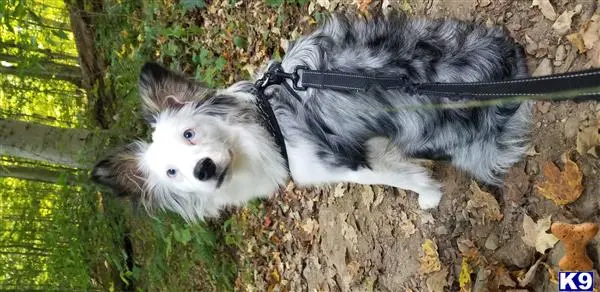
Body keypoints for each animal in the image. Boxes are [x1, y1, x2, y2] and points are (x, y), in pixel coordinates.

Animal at [91, 12, 532, 222]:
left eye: (189, 133)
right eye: (171, 173)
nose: (202, 169)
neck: (269, 125)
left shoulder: (343, 164)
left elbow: (399, 179)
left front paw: (429, 196)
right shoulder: (366, 147)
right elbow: (398, 166)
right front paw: (426, 188)